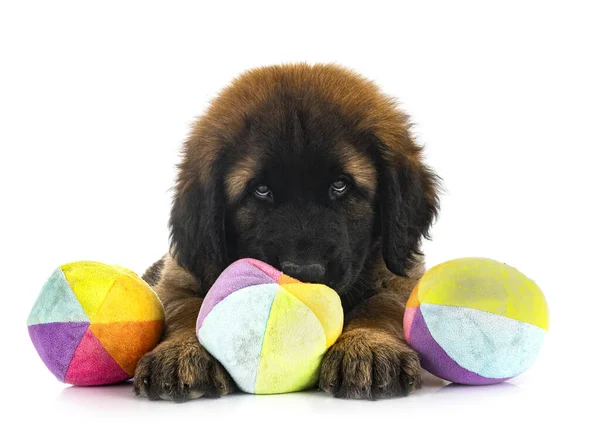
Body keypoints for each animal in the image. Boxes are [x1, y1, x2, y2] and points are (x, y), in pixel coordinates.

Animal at [136, 63, 440, 400]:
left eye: (340, 185)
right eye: (261, 190)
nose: (303, 273)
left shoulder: (398, 274)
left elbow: (382, 305)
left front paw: (368, 345)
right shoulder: (180, 278)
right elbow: (186, 309)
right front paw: (181, 350)